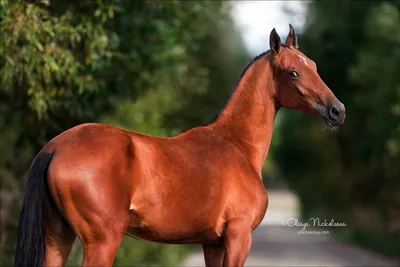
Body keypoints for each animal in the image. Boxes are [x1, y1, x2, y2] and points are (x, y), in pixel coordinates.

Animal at [15, 24, 346, 266]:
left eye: (314, 66)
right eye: (293, 72)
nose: (337, 111)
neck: (236, 146)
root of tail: (54, 148)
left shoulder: (212, 243)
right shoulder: (238, 238)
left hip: (57, 238)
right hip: (102, 242)